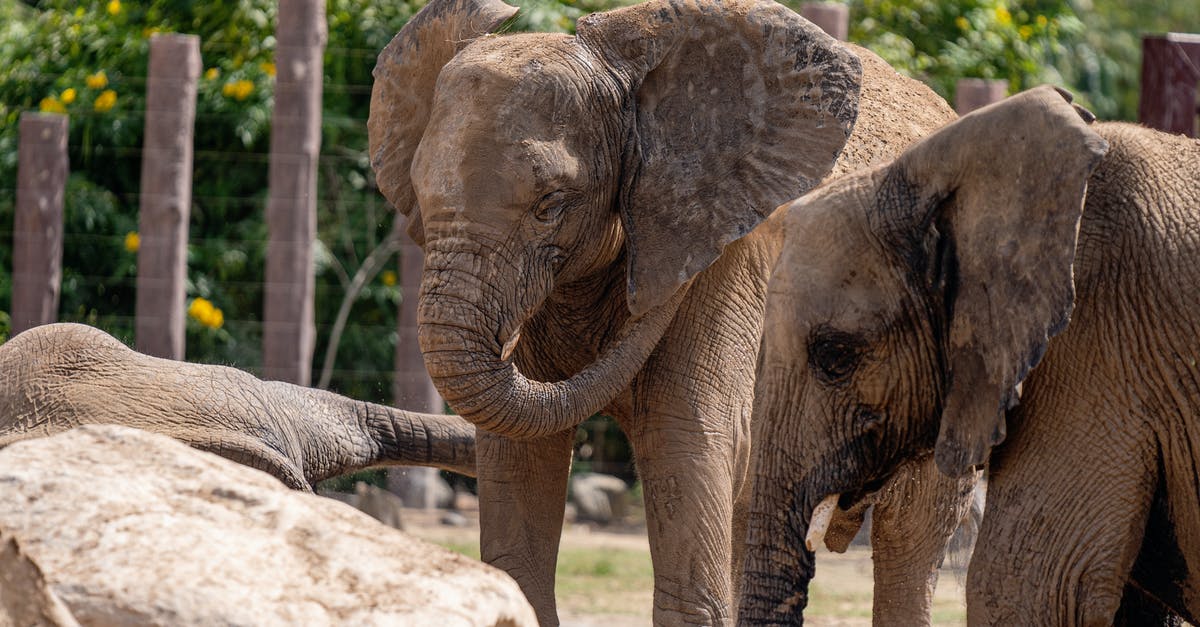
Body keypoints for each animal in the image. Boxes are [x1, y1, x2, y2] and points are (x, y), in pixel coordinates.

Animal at [367, 0, 984, 614]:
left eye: (551, 205)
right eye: (418, 195)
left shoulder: (733, 257)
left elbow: (684, 440)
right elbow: (521, 461)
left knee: (911, 540)